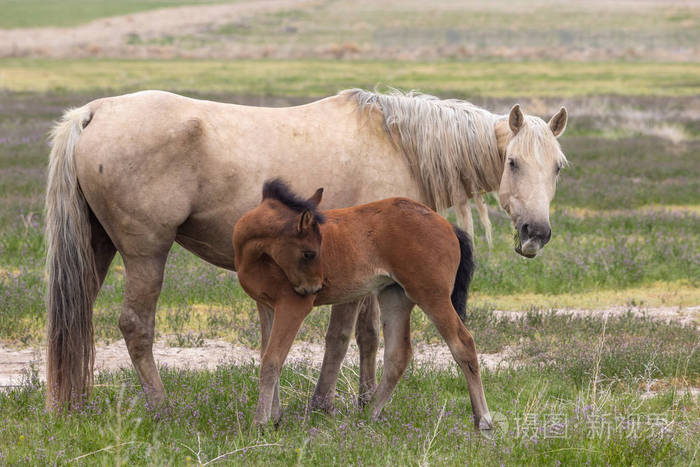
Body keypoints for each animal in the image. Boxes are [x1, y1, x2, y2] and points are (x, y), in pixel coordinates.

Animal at [232, 180, 490, 432]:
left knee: (463, 344)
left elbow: (272, 361)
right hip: (395, 296)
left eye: (315, 251)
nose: (315, 288)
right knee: (398, 354)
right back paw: (368, 417)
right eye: (309, 253)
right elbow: (268, 355)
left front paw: (260, 424)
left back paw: (484, 421)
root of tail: (449, 226)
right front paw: (274, 418)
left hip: (431, 294)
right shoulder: (266, 306)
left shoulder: (292, 306)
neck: (257, 257)